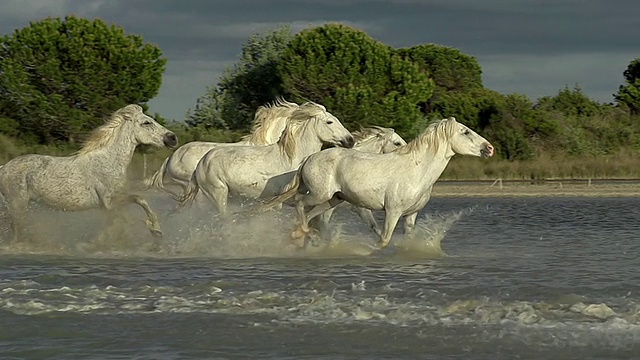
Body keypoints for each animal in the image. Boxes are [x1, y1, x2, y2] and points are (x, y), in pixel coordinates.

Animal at [0, 104, 178, 245]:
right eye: (146, 122)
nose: (172, 138)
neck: (109, 161)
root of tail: (4, 168)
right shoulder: (110, 201)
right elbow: (140, 199)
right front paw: (156, 229)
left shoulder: (109, 206)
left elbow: (117, 221)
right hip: (18, 204)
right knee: (17, 230)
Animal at [180, 100, 356, 215]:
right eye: (329, 122)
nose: (350, 140)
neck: (294, 158)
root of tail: (201, 164)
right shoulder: (280, 198)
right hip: (217, 193)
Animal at [260, 116, 496, 249]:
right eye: (465, 131)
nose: (489, 148)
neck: (417, 170)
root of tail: (309, 158)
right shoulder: (392, 212)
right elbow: (382, 240)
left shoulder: (411, 214)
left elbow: (406, 238)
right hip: (320, 195)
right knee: (300, 204)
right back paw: (300, 235)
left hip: (333, 200)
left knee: (310, 216)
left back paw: (300, 236)